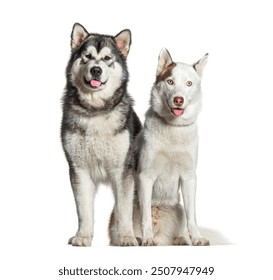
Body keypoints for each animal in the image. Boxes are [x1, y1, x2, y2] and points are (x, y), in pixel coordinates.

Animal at [60, 24, 141, 247]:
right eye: (87, 56)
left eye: (107, 58)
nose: (96, 70)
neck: (95, 111)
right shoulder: (79, 170)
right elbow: (83, 210)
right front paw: (83, 236)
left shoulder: (123, 171)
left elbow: (124, 209)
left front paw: (126, 236)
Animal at [132, 49, 208, 246]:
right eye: (170, 81)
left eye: (189, 83)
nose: (178, 100)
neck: (173, 128)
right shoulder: (146, 177)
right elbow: (145, 217)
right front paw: (147, 238)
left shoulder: (189, 178)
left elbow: (192, 216)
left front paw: (197, 238)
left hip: (178, 209)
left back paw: (181, 239)